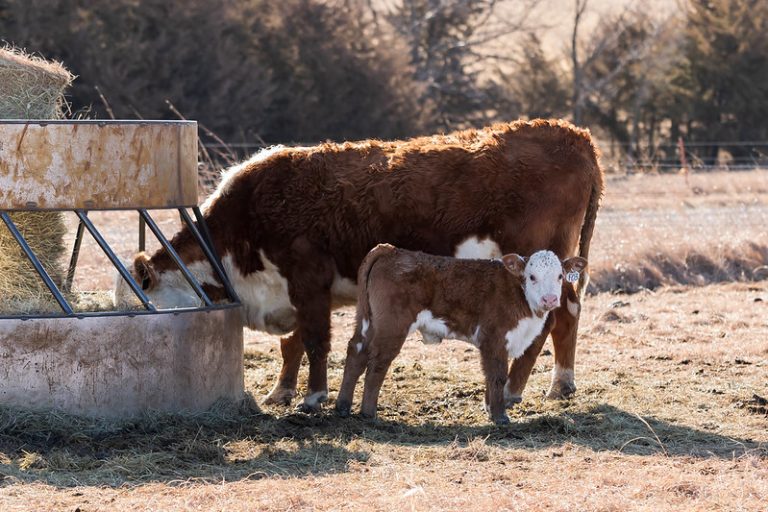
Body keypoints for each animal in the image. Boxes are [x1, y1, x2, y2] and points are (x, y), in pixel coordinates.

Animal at [335, 244, 587, 424]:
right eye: (532, 277)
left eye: (560, 276)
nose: (550, 299)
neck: (519, 293)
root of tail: (390, 250)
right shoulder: (494, 338)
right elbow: (497, 375)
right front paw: (500, 417)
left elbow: (489, 375)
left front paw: (490, 409)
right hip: (392, 326)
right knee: (378, 362)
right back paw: (369, 414)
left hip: (367, 320)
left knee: (356, 352)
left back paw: (342, 407)